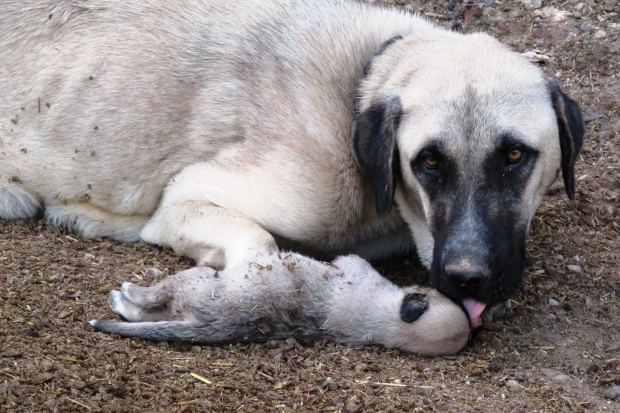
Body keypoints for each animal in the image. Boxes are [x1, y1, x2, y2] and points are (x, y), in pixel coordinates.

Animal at [0, 0, 584, 322]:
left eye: (515, 155)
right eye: (430, 162)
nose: (468, 280)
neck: (357, 88)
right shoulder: (185, 199)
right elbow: (258, 246)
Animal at [89, 249, 470, 356]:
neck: (385, 321)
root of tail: (207, 326)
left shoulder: (355, 266)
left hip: (195, 281)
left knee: (149, 299)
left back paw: (123, 294)